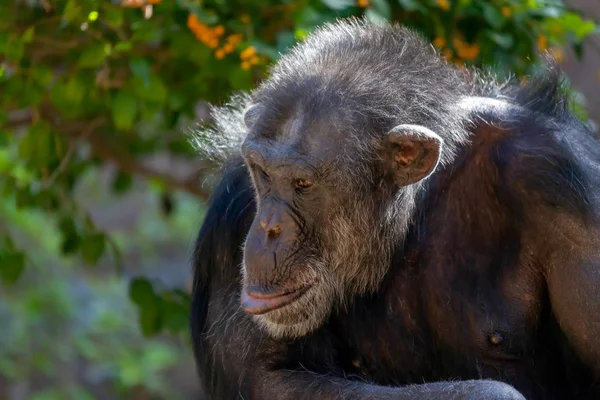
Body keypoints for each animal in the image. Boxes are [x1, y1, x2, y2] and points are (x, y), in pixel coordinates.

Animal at [190, 18, 600, 400]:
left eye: (303, 184)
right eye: (262, 173)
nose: (268, 229)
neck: (415, 210)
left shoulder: (562, 180)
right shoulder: (234, 214)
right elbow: (270, 376)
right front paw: (491, 394)